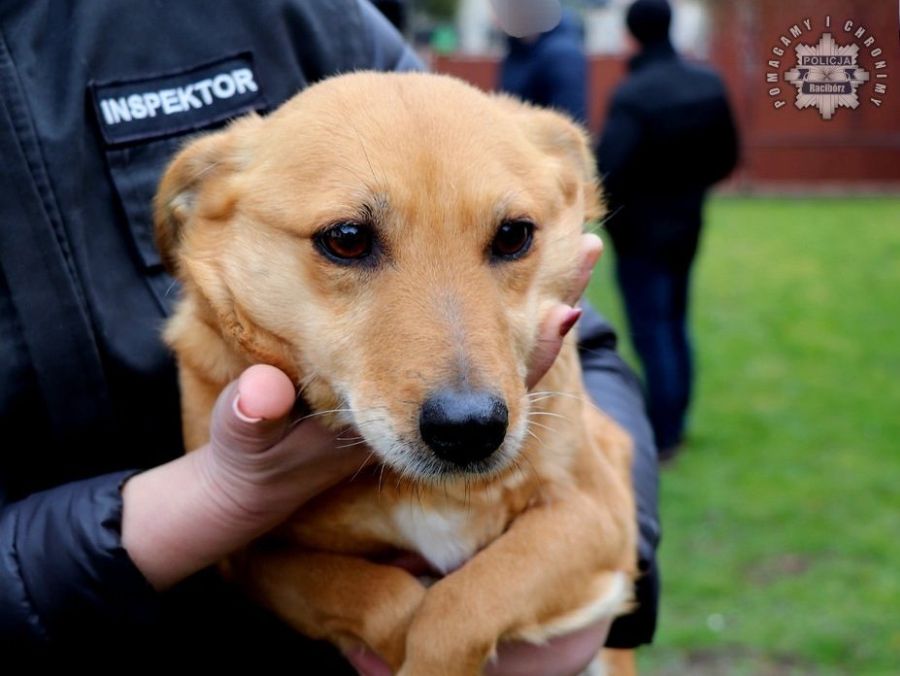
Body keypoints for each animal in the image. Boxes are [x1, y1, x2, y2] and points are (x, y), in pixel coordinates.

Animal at [153, 71, 632, 672]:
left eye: (513, 235)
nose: (470, 429)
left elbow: (464, 602)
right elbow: (383, 599)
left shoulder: (595, 511)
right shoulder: (254, 555)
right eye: (347, 238)